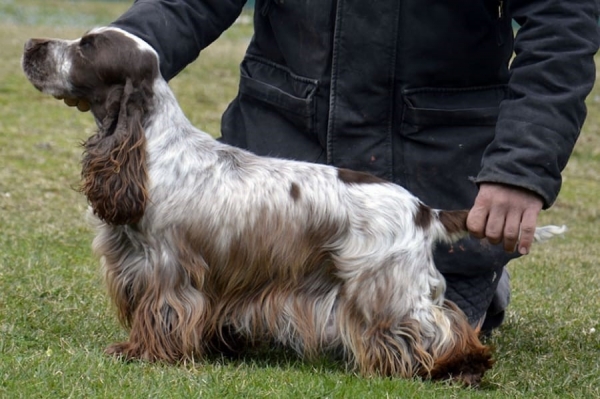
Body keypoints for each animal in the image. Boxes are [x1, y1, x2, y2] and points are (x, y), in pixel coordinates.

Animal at [22, 26, 568, 386]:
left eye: (87, 47)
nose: (30, 45)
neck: (152, 146)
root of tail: (423, 210)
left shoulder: (166, 265)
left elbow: (162, 312)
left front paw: (140, 353)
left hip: (384, 288)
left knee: (438, 327)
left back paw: (457, 368)